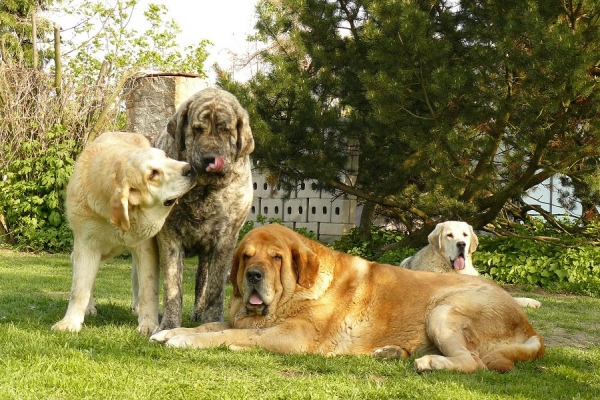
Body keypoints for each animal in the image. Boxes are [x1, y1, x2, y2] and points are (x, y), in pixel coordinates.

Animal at [51, 132, 196, 334]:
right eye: (153, 174)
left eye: (166, 156)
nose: (189, 168)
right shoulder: (86, 245)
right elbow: (80, 288)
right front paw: (70, 322)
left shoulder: (146, 247)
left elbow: (147, 288)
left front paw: (148, 324)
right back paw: (90, 308)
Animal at [154, 89, 254, 330]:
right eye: (197, 129)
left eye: (225, 130)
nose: (210, 158)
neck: (204, 190)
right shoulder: (170, 237)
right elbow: (173, 285)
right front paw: (169, 325)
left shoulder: (226, 240)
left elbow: (215, 289)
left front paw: (211, 322)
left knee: (203, 281)